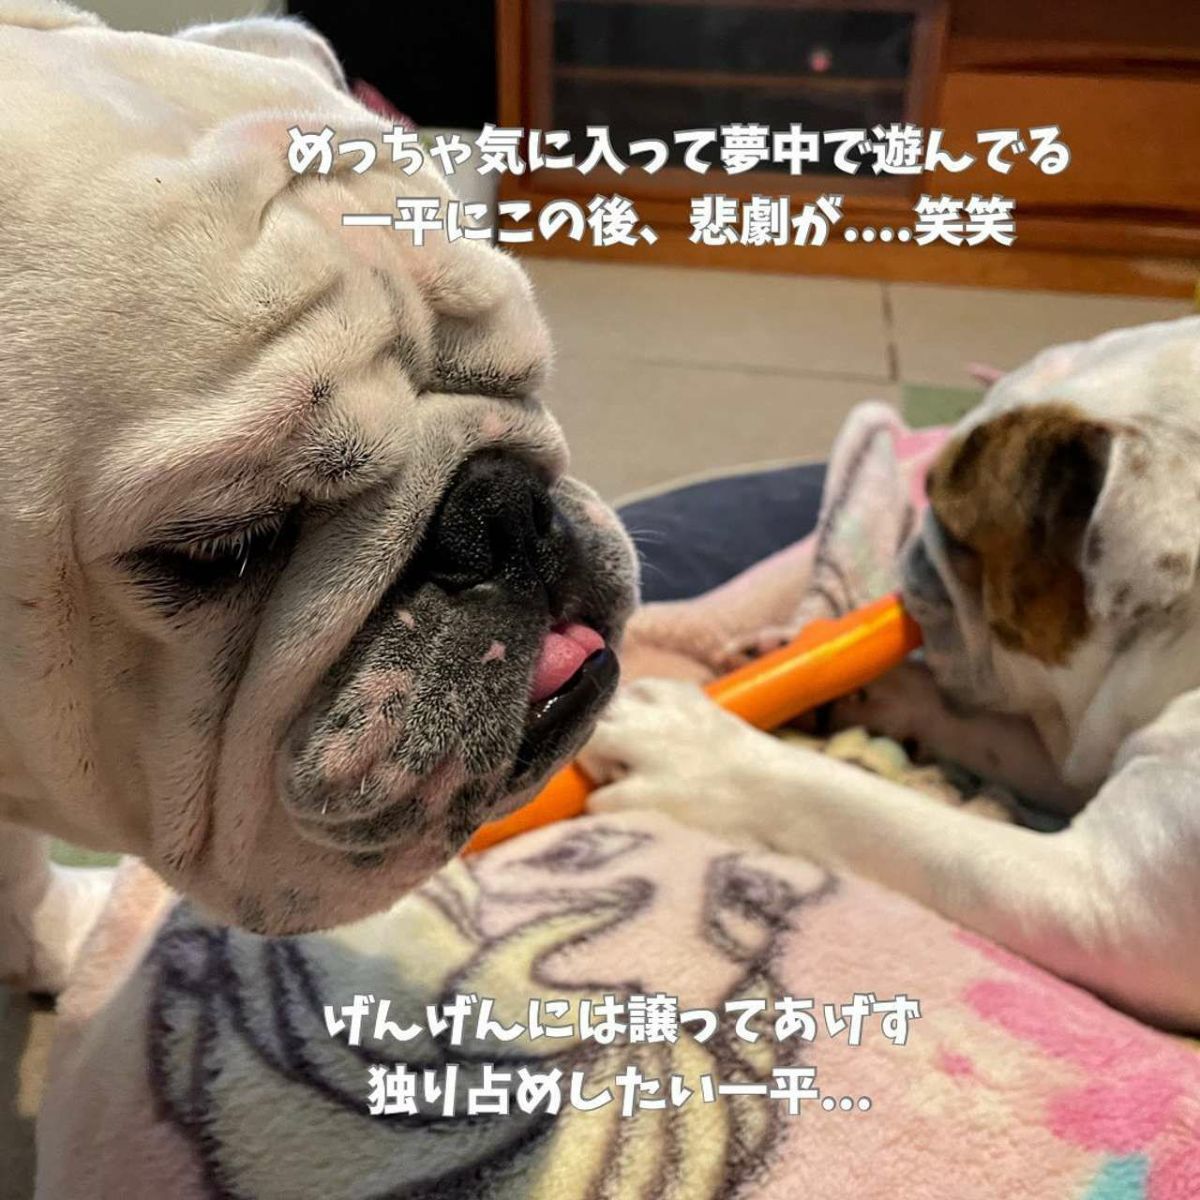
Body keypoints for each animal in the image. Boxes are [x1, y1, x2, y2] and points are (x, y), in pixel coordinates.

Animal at [583, 316, 1200, 1030]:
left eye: (957, 537)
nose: (910, 562)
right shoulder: (1083, 756)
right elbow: (992, 734)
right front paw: (843, 679)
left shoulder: (1095, 896)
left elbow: (860, 806)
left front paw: (694, 751)